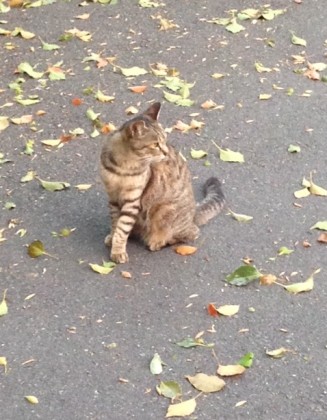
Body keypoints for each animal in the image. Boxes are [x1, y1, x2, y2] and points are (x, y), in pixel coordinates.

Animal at [100, 101, 226, 262]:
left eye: (164, 140)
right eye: (155, 145)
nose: (165, 152)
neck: (123, 166)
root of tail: (193, 214)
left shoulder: (132, 200)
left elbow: (122, 228)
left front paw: (118, 251)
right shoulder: (113, 197)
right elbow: (116, 223)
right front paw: (113, 238)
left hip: (163, 211)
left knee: (191, 233)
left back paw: (157, 241)